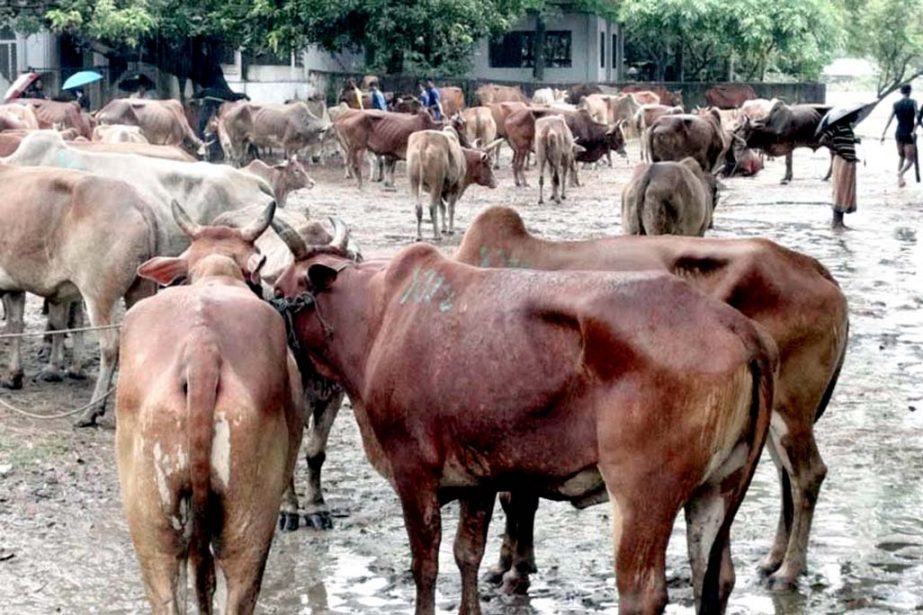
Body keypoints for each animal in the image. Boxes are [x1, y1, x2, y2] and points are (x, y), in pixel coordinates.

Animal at [0, 165, 159, 428]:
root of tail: (138, 204)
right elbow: (16, 326)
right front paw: (14, 376)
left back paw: (91, 411)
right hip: (140, 289)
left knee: (110, 347)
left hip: (98, 296)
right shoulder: (13, 284)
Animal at [117, 202, 304, 615]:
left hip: (151, 515)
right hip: (248, 518)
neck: (217, 274)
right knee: (239, 581)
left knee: (166, 583)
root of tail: (201, 345)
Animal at [270, 225, 776, 615]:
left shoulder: (413, 471)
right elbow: (467, 555)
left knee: (643, 593)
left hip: (642, 496)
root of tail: (736, 326)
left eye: (280, 291)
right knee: (714, 577)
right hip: (717, 487)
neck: (377, 319)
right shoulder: (477, 477)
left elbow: (425, 565)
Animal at [456, 208, 852, 596]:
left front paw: (514, 571)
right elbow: (515, 496)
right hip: (768, 423)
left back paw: (788, 570)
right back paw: (773, 560)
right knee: (786, 475)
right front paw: (508, 565)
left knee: (807, 474)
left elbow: (516, 498)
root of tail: (815, 269)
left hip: (791, 409)